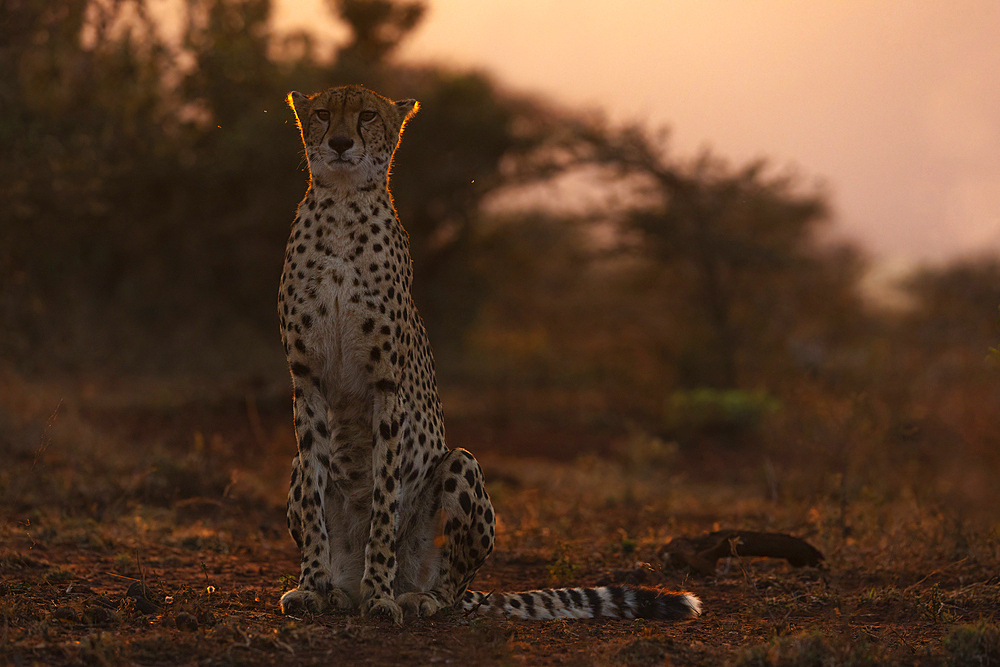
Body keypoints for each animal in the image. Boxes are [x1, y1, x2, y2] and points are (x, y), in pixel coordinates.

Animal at [278, 85, 708, 628]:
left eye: (368, 115)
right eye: (321, 113)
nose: (338, 142)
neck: (341, 205)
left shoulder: (386, 385)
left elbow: (383, 501)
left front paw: (379, 595)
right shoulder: (306, 378)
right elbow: (317, 497)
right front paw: (311, 585)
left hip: (461, 468)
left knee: (453, 580)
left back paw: (412, 596)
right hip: (295, 465)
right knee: (308, 477)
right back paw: (338, 589)